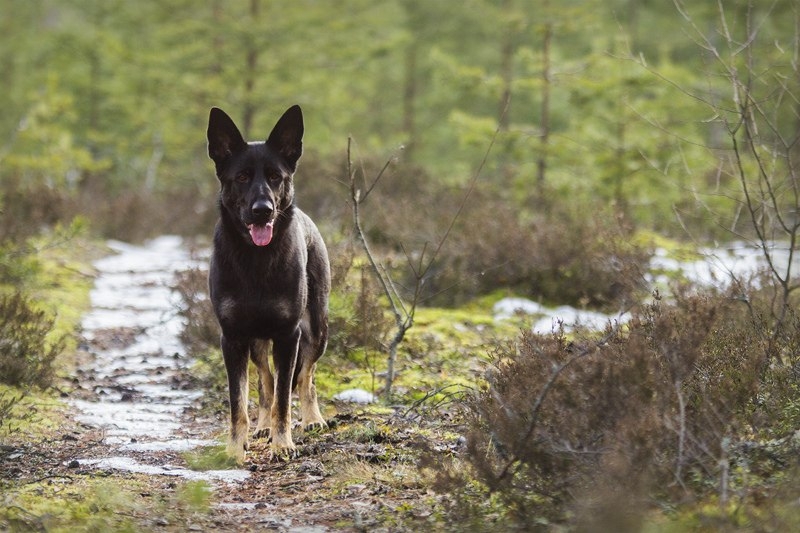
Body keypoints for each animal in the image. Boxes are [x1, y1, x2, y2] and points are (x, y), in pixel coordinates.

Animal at [209, 105, 332, 462]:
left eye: (276, 176)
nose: (262, 211)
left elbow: (284, 397)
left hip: (317, 329)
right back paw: (261, 425)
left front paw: (282, 444)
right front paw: (235, 448)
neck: (255, 259)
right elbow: (239, 401)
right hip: (257, 343)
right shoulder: (233, 338)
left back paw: (312, 418)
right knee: (265, 380)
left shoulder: (288, 335)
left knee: (306, 376)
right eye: (242, 177)